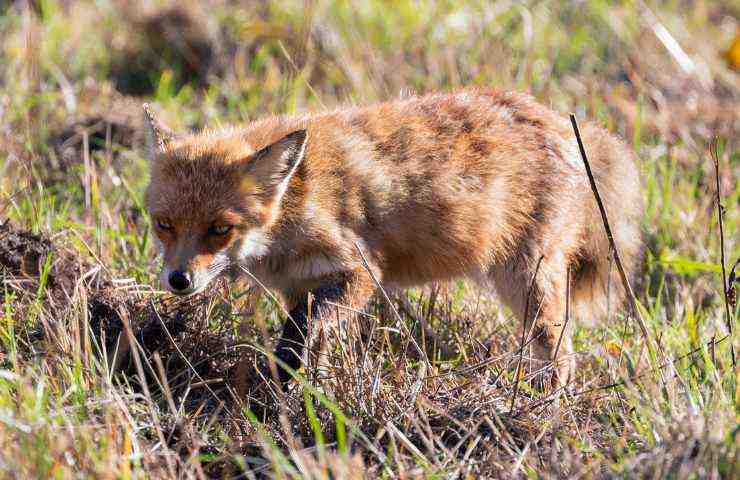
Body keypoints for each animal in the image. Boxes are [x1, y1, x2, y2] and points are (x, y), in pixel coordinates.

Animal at [143, 89, 640, 386]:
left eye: (220, 229)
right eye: (164, 224)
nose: (178, 281)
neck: (296, 200)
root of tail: (562, 120)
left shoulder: (361, 272)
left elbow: (303, 335)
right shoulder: (301, 287)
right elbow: (303, 342)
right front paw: (303, 389)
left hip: (529, 284)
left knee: (561, 357)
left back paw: (543, 407)